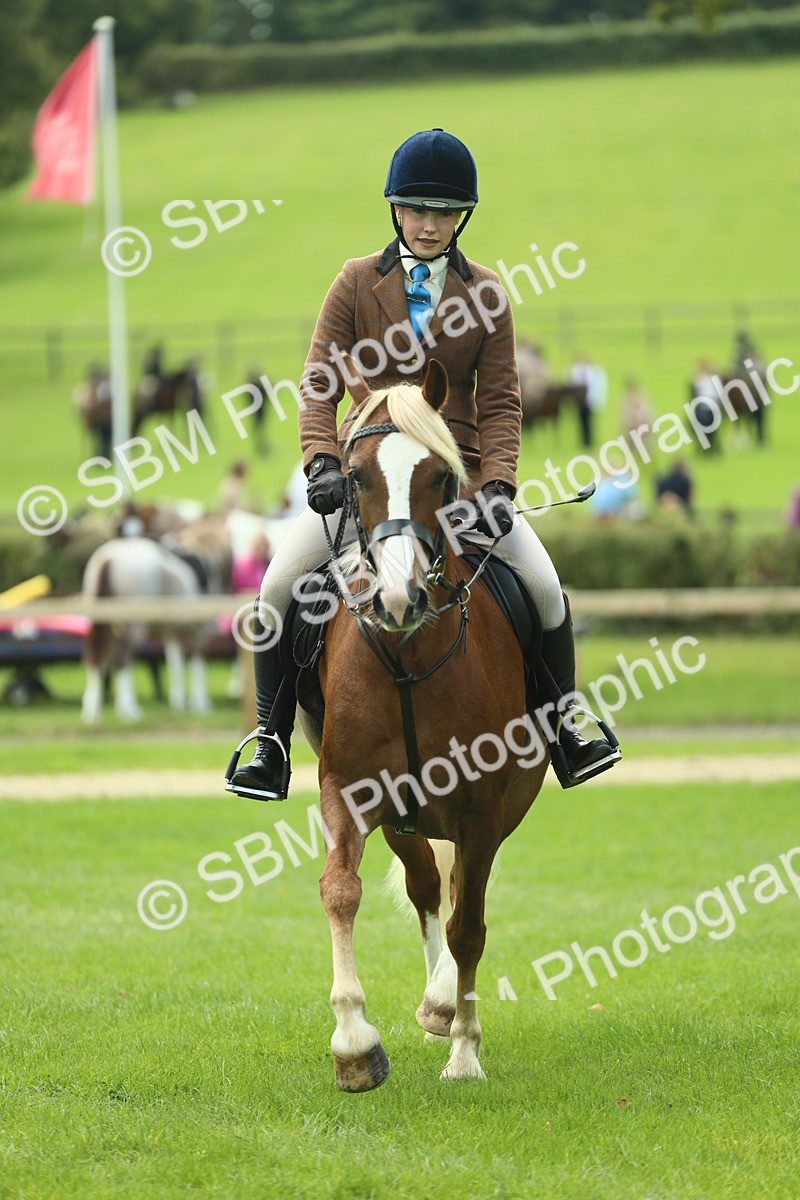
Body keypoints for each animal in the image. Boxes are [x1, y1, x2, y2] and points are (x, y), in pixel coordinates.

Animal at [80, 517, 231, 724]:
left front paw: (178, 703)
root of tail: (109, 558)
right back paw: (128, 708)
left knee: (97, 656)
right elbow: (197, 664)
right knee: (122, 656)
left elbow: (176, 665)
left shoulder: (173, 633)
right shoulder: (199, 631)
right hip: (134, 625)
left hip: (103, 621)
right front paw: (200, 703)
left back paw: (92, 710)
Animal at [295, 358, 548, 1091]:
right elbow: (340, 890)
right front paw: (354, 1043)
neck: (408, 652)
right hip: (404, 823)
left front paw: (464, 1051)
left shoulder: (483, 808)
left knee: (462, 897)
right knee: (428, 887)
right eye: (354, 477)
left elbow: (470, 929)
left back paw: (445, 1007)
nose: (398, 598)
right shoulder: (347, 790)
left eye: (441, 475)